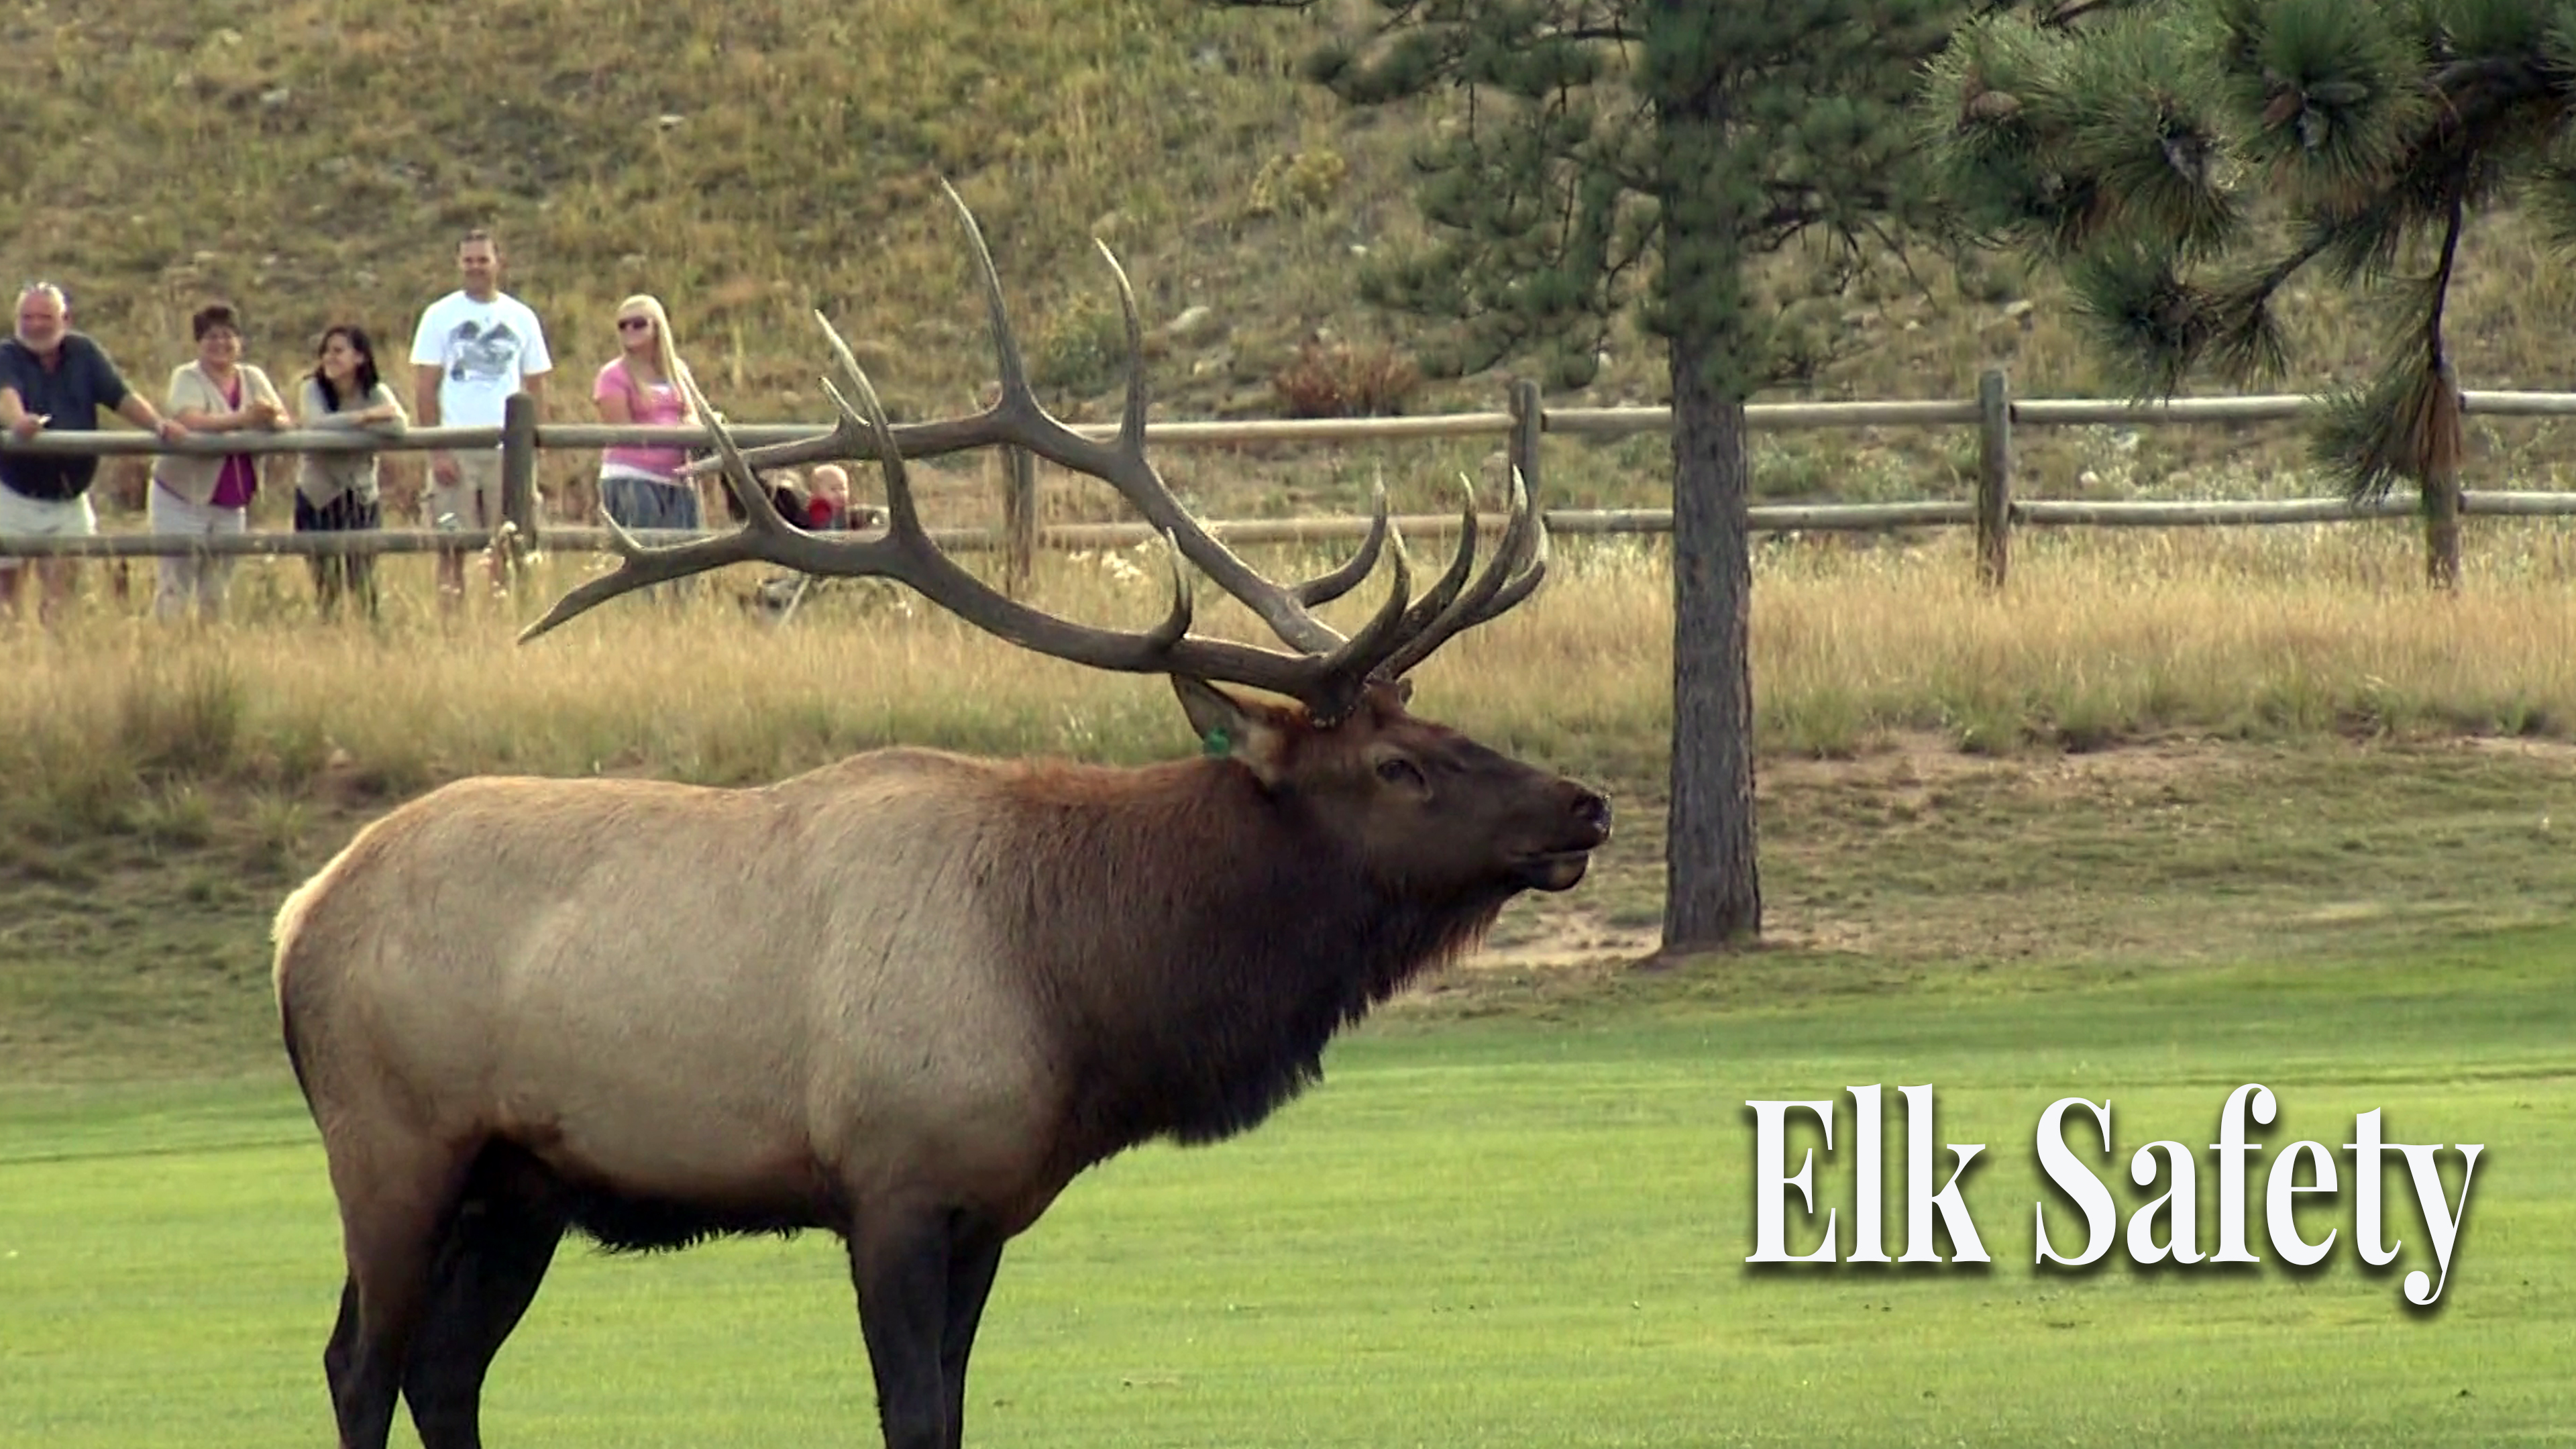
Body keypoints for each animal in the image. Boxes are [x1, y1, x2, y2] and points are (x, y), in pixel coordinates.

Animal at [271, 181, 1612, 1449]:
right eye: (1397, 765)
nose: (1586, 805)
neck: (1079, 991)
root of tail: (298, 917)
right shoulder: (894, 1181)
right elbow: (913, 1412)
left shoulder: (990, 1207)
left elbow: (956, 1410)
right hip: (391, 1145)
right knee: (358, 1364)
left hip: (519, 1187)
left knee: (446, 1372)